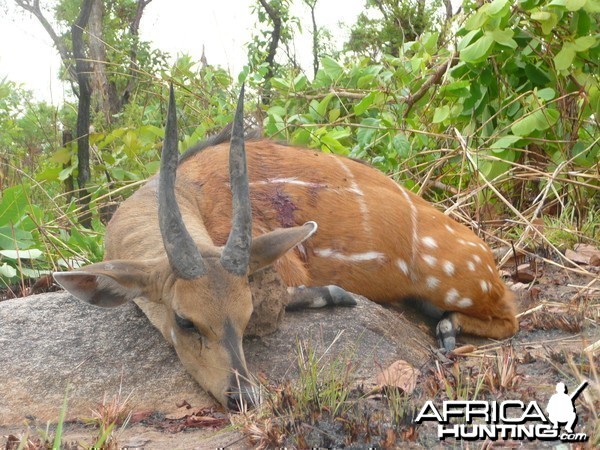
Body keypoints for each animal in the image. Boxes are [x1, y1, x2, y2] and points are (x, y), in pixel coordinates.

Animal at [54, 85, 516, 412]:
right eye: (185, 321)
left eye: (246, 315)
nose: (243, 398)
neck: (189, 189)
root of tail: (485, 253)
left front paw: (334, 295)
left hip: (458, 284)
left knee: (509, 318)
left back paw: (448, 328)